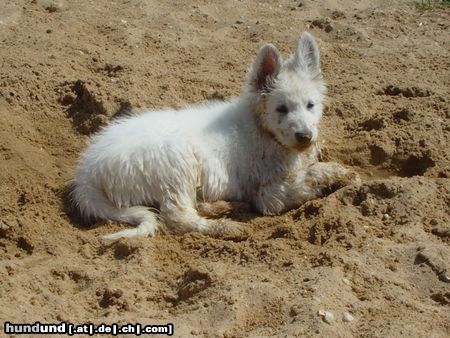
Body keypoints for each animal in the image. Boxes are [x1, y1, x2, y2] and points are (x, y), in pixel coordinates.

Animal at [72, 30, 356, 239]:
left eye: (310, 105)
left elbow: (311, 167)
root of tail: (87, 174)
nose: (305, 136)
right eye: (281, 109)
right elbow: (311, 175)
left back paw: (227, 206)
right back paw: (228, 227)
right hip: (175, 161)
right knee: (178, 218)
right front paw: (344, 175)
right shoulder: (268, 193)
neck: (263, 130)